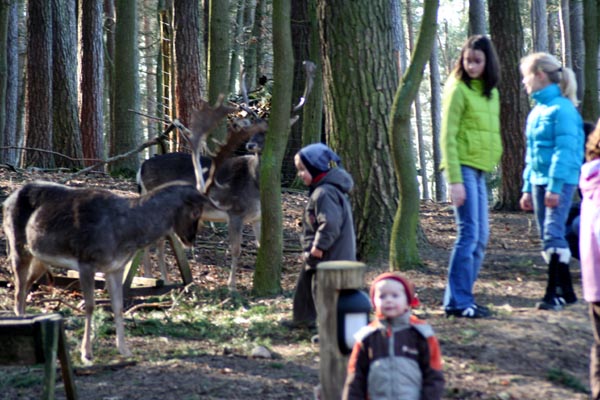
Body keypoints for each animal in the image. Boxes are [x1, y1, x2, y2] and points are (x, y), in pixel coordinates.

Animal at [0, 98, 258, 364]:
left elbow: (118, 305)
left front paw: (124, 349)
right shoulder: (86, 260)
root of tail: (7, 199)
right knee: (17, 288)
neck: (124, 232)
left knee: (26, 286)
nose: (191, 239)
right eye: (196, 208)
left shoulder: (115, 267)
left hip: (40, 257)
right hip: (16, 244)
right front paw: (86, 353)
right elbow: (91, 305)